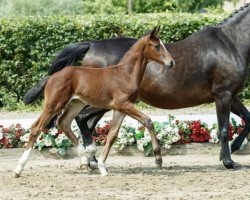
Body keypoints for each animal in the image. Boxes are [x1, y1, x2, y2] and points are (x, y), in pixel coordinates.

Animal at [13, 27, 174, 177]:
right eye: (157, 46)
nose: (171, 62)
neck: (125, 74)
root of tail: (51, 77)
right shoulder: (124, 105)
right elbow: (148, 121)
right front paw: (158, 159)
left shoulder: (120, 109)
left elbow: (112, 135)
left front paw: (102, 166)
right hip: (53, 105)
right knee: (36, 128)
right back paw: (18, 168)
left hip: (75, 104)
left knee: (63, 123)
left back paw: (85, 159)